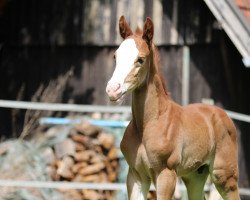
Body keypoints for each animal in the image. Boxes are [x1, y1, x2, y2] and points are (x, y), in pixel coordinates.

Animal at [106, 16, 240, 200]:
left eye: (140, 59)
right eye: (115, 57)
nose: (113, 90)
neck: (148, 124)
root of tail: (223, 115)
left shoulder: (166, 174)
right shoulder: (136, 175)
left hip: (225, 176)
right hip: (195, 176)